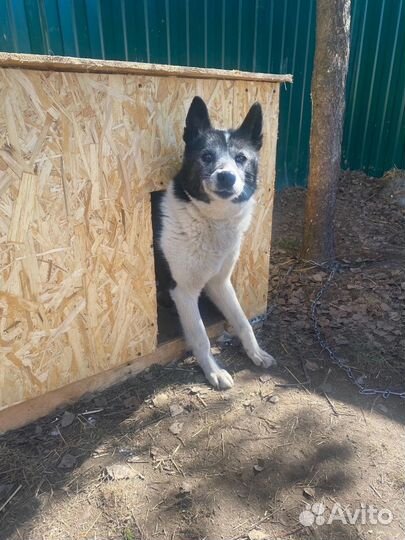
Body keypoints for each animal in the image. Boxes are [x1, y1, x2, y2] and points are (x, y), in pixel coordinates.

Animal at [157, 98, 274, 388]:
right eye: (207, 156)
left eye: (241, 158)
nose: (226, 177)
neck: (211, 221)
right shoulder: (184, 291)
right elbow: (201, 337)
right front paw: (214, 371)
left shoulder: (220, 282)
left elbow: (243, 321)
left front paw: (255, 352)